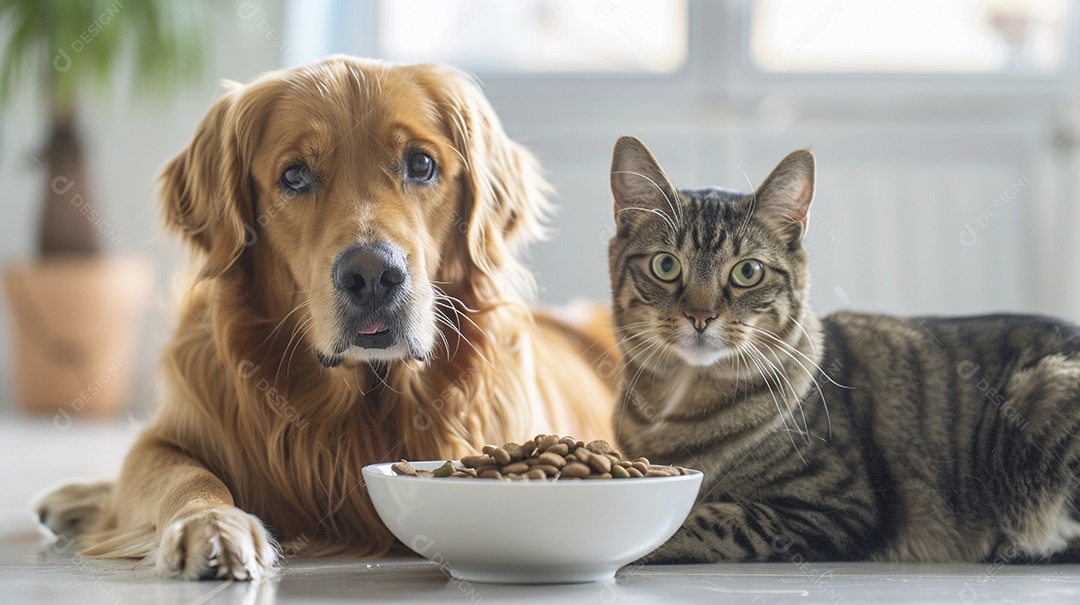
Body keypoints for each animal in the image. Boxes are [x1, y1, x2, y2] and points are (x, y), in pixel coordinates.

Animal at [35, 57, 617, 583]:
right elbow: (183, 475)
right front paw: (213, 525)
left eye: (421, 165)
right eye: (294, 176)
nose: (374, 276)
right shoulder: (170, 435)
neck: (358, 403)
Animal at [613, 136, 1080, 561]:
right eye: (665, 265)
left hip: (1045, 395)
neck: (679, 401)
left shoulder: (837, 506)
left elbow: (705, 519)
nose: (700, 315)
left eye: (748, 271)